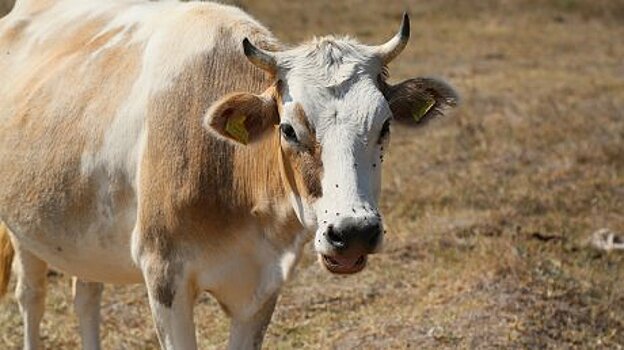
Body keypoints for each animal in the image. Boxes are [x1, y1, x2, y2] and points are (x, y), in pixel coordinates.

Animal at [0, 0, 458, 348]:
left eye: (385, 126)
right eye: (289, 129)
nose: (354, 232)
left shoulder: (262, 286)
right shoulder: (164, 276)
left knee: (86, 293)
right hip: (24, 230)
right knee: (32, 297)